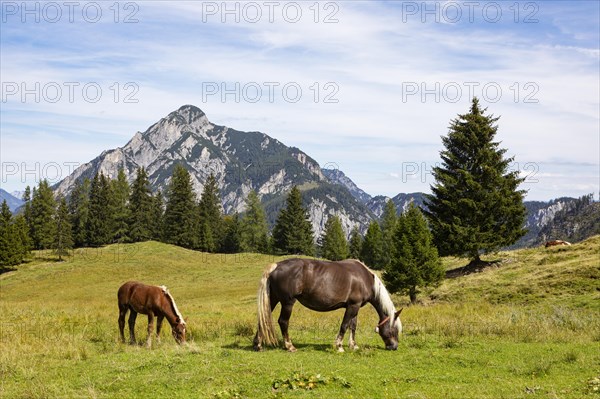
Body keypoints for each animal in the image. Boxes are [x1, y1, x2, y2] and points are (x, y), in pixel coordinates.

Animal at [253, 258, 404, 352]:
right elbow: (344, 325)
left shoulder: (355, 306)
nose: (394, 347)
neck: (364, 278)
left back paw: (257, 345)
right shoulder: (352, 306)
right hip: (287, 302)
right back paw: (289, 346)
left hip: (273, 299)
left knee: (263, 319)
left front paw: (353, 345)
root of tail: (276, 266)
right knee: (283, 322)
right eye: (395, 329)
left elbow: (353, 326)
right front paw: (339, 346)